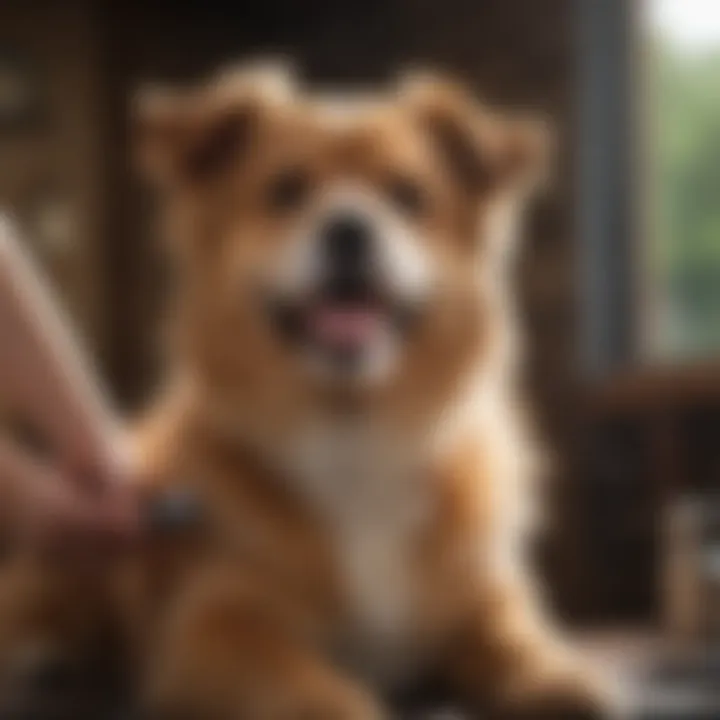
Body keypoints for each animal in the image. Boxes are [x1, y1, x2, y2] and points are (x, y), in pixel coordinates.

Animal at [0, 63, 612, 720]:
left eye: (408, 196)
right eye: (285, 191)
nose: (349, 227)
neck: (354, 427)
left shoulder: (483, 595)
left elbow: (515, 638)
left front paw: (557, 675)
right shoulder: (213, 629)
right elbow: (311, 689)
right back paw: (46, 660)